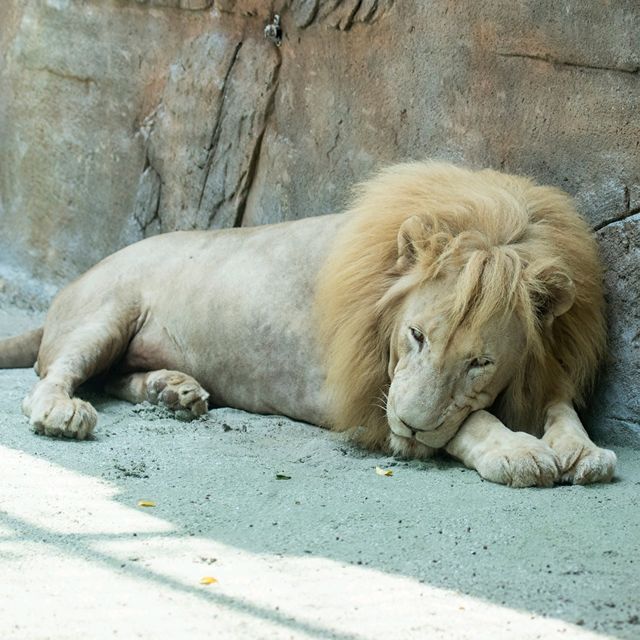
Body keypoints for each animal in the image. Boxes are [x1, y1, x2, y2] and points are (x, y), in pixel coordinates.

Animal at [0, 162, 616, 488]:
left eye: (480, 363)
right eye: (417, 335)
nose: (412, 425)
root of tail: (69, 286)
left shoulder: (547, 367)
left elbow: (559, 408)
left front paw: (581, 451)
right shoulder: (368, 394)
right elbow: (472, 422)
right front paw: (518, 453)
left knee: (112, 378)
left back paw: (172, 392)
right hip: (107, 312)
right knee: (51, 380)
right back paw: (64, 413)